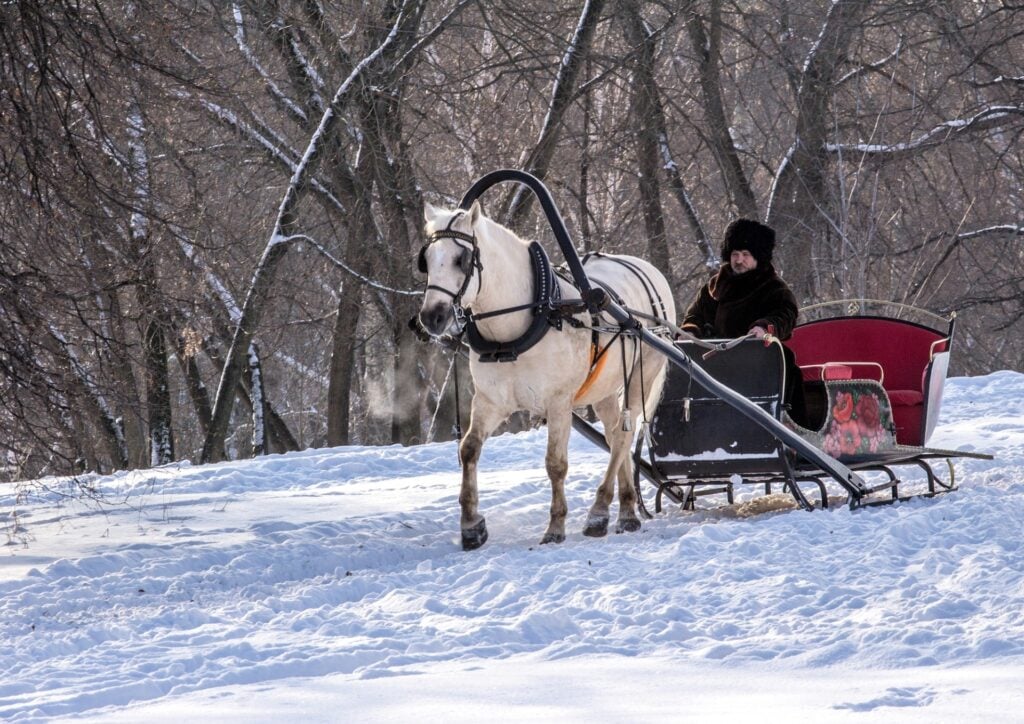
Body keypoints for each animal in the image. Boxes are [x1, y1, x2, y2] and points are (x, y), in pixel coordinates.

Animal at [419, 199, 675, 548]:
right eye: (427, 259)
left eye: (462, 259)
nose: (431, 317)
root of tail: (650, 270)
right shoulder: (490, 401)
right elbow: (468, 449)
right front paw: (471, 525)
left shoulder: (559, 403)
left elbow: (555, 464)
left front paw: (555, 527)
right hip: (605, 388)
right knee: (614, 436)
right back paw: (625, 511)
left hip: (642, 373)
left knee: (623, 436)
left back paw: (598, 511)